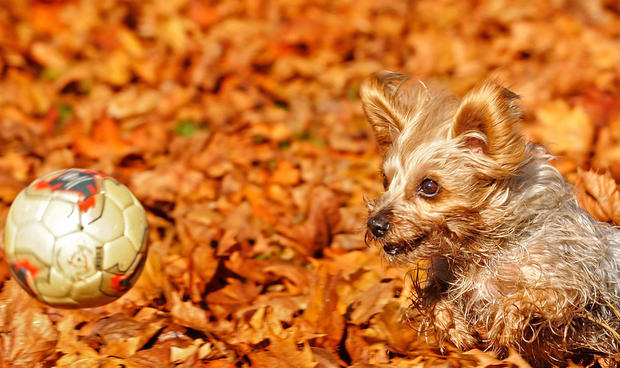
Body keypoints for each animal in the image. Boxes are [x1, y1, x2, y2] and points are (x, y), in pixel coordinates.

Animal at [360, 70, 616, 366]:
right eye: (385, 180)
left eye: (429, 186)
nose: (375, 224)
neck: (484, 250)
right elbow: (433, 296)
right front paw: (452, 325)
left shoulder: (573, 283)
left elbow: (536, 295)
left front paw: (505, 321)